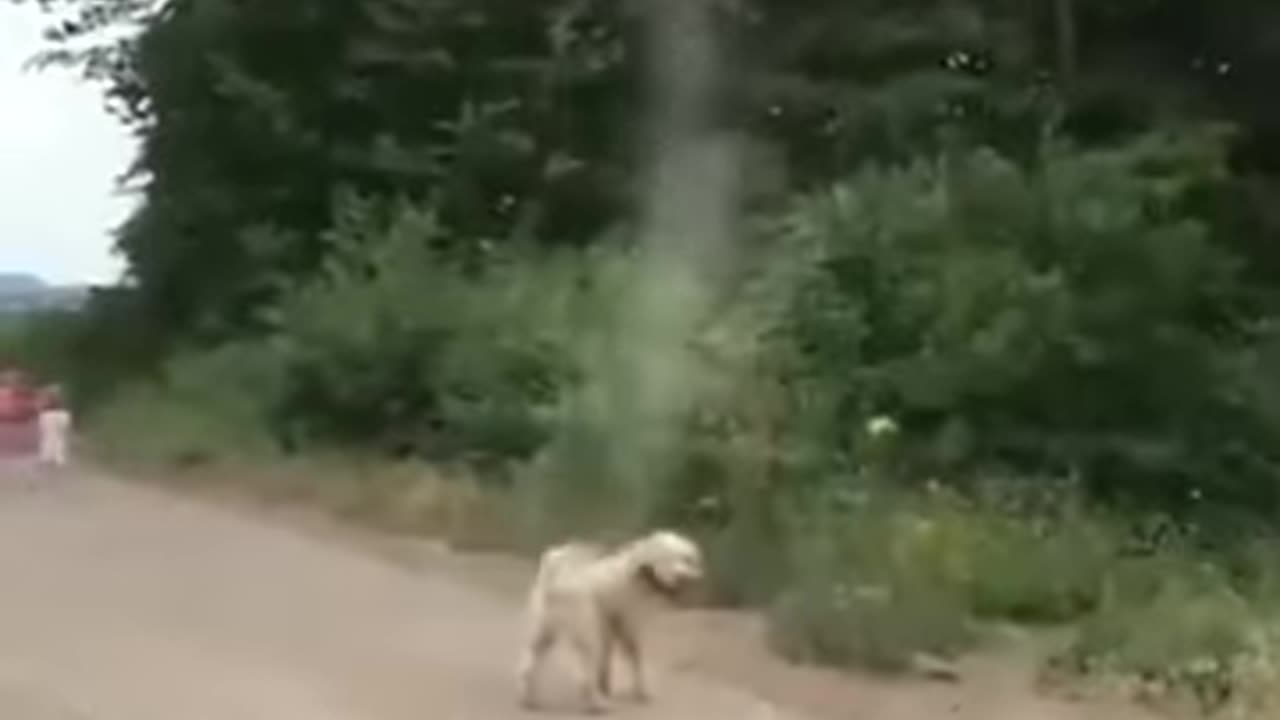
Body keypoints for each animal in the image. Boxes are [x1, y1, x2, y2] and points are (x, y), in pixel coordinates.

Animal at [514, 527, 706, 712]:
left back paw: (529, 700)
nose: (683, 577)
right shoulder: (629, 627)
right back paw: (598, 705)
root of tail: (557, 577)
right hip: (586, 631)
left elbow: (607, 659)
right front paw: (642, 691)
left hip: (543, 630)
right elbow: (635, 657)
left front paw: (606, 686)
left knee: (528, 665)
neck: (641, 573)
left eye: (685, 559)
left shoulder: (609, 626)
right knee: (584, 677)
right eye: (667, 557)